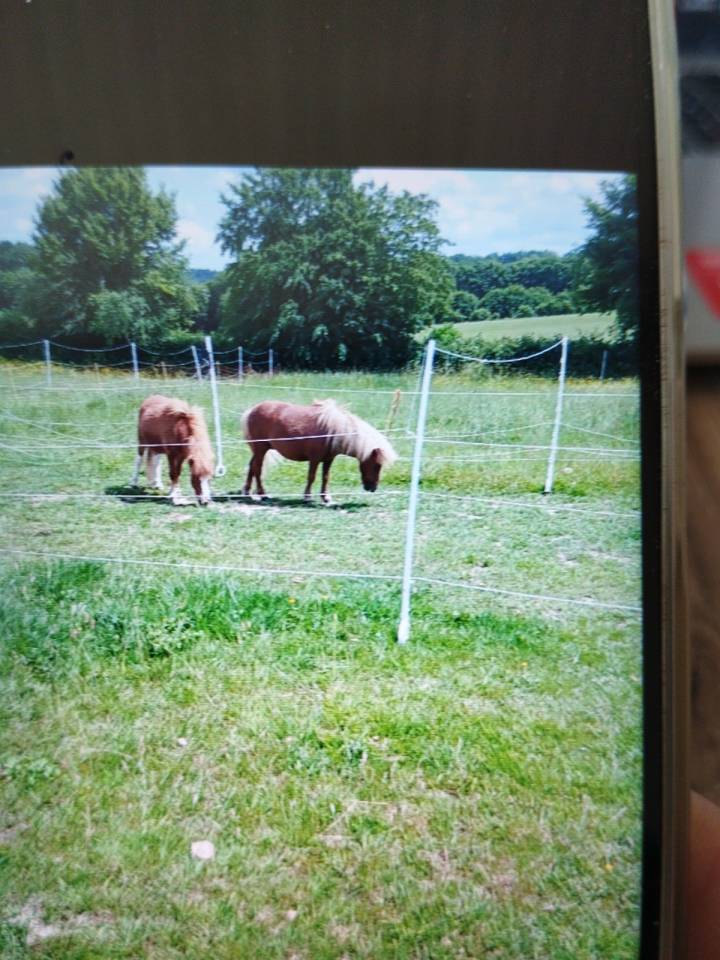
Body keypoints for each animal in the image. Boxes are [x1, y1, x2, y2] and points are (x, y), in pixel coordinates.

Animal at [241, 398, 397, 504]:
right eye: (377, 465)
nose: (373, 488)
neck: (333, 431)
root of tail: (252, 410)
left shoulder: (328, 460)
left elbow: (325, 477)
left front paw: (326, 497)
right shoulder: (314, 459)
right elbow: (312, 477)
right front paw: (307, 497)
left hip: (258, 450)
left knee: (252, 467)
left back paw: (247, 492)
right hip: (260, 449)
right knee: (257, 469)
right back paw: (262, 494)